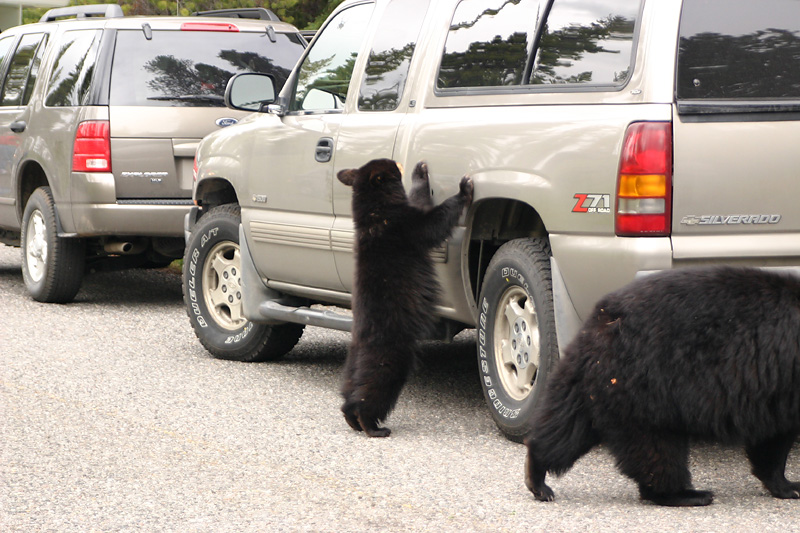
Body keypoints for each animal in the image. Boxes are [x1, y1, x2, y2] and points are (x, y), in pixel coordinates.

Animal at [336, 158, 472, 436]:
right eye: (390, 166)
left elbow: (420, 200)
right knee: (371, 391)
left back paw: (351, 418)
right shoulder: (406, 227)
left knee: (349, 392)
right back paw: (373, 426)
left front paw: (420, 172)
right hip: (391, 356)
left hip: (352, 365)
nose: (397, 161)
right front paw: (463, 189)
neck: (376, 215)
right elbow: (434, 221)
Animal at [524, 268, 800, 504]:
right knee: (656, 446)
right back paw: (687, 494)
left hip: (593, 380)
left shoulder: (774, 394)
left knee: (567, 425)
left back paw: (537, 475)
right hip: (647, 385)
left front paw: (785, 484)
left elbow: (773, 436)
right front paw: (790, 486)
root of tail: (604, 319)